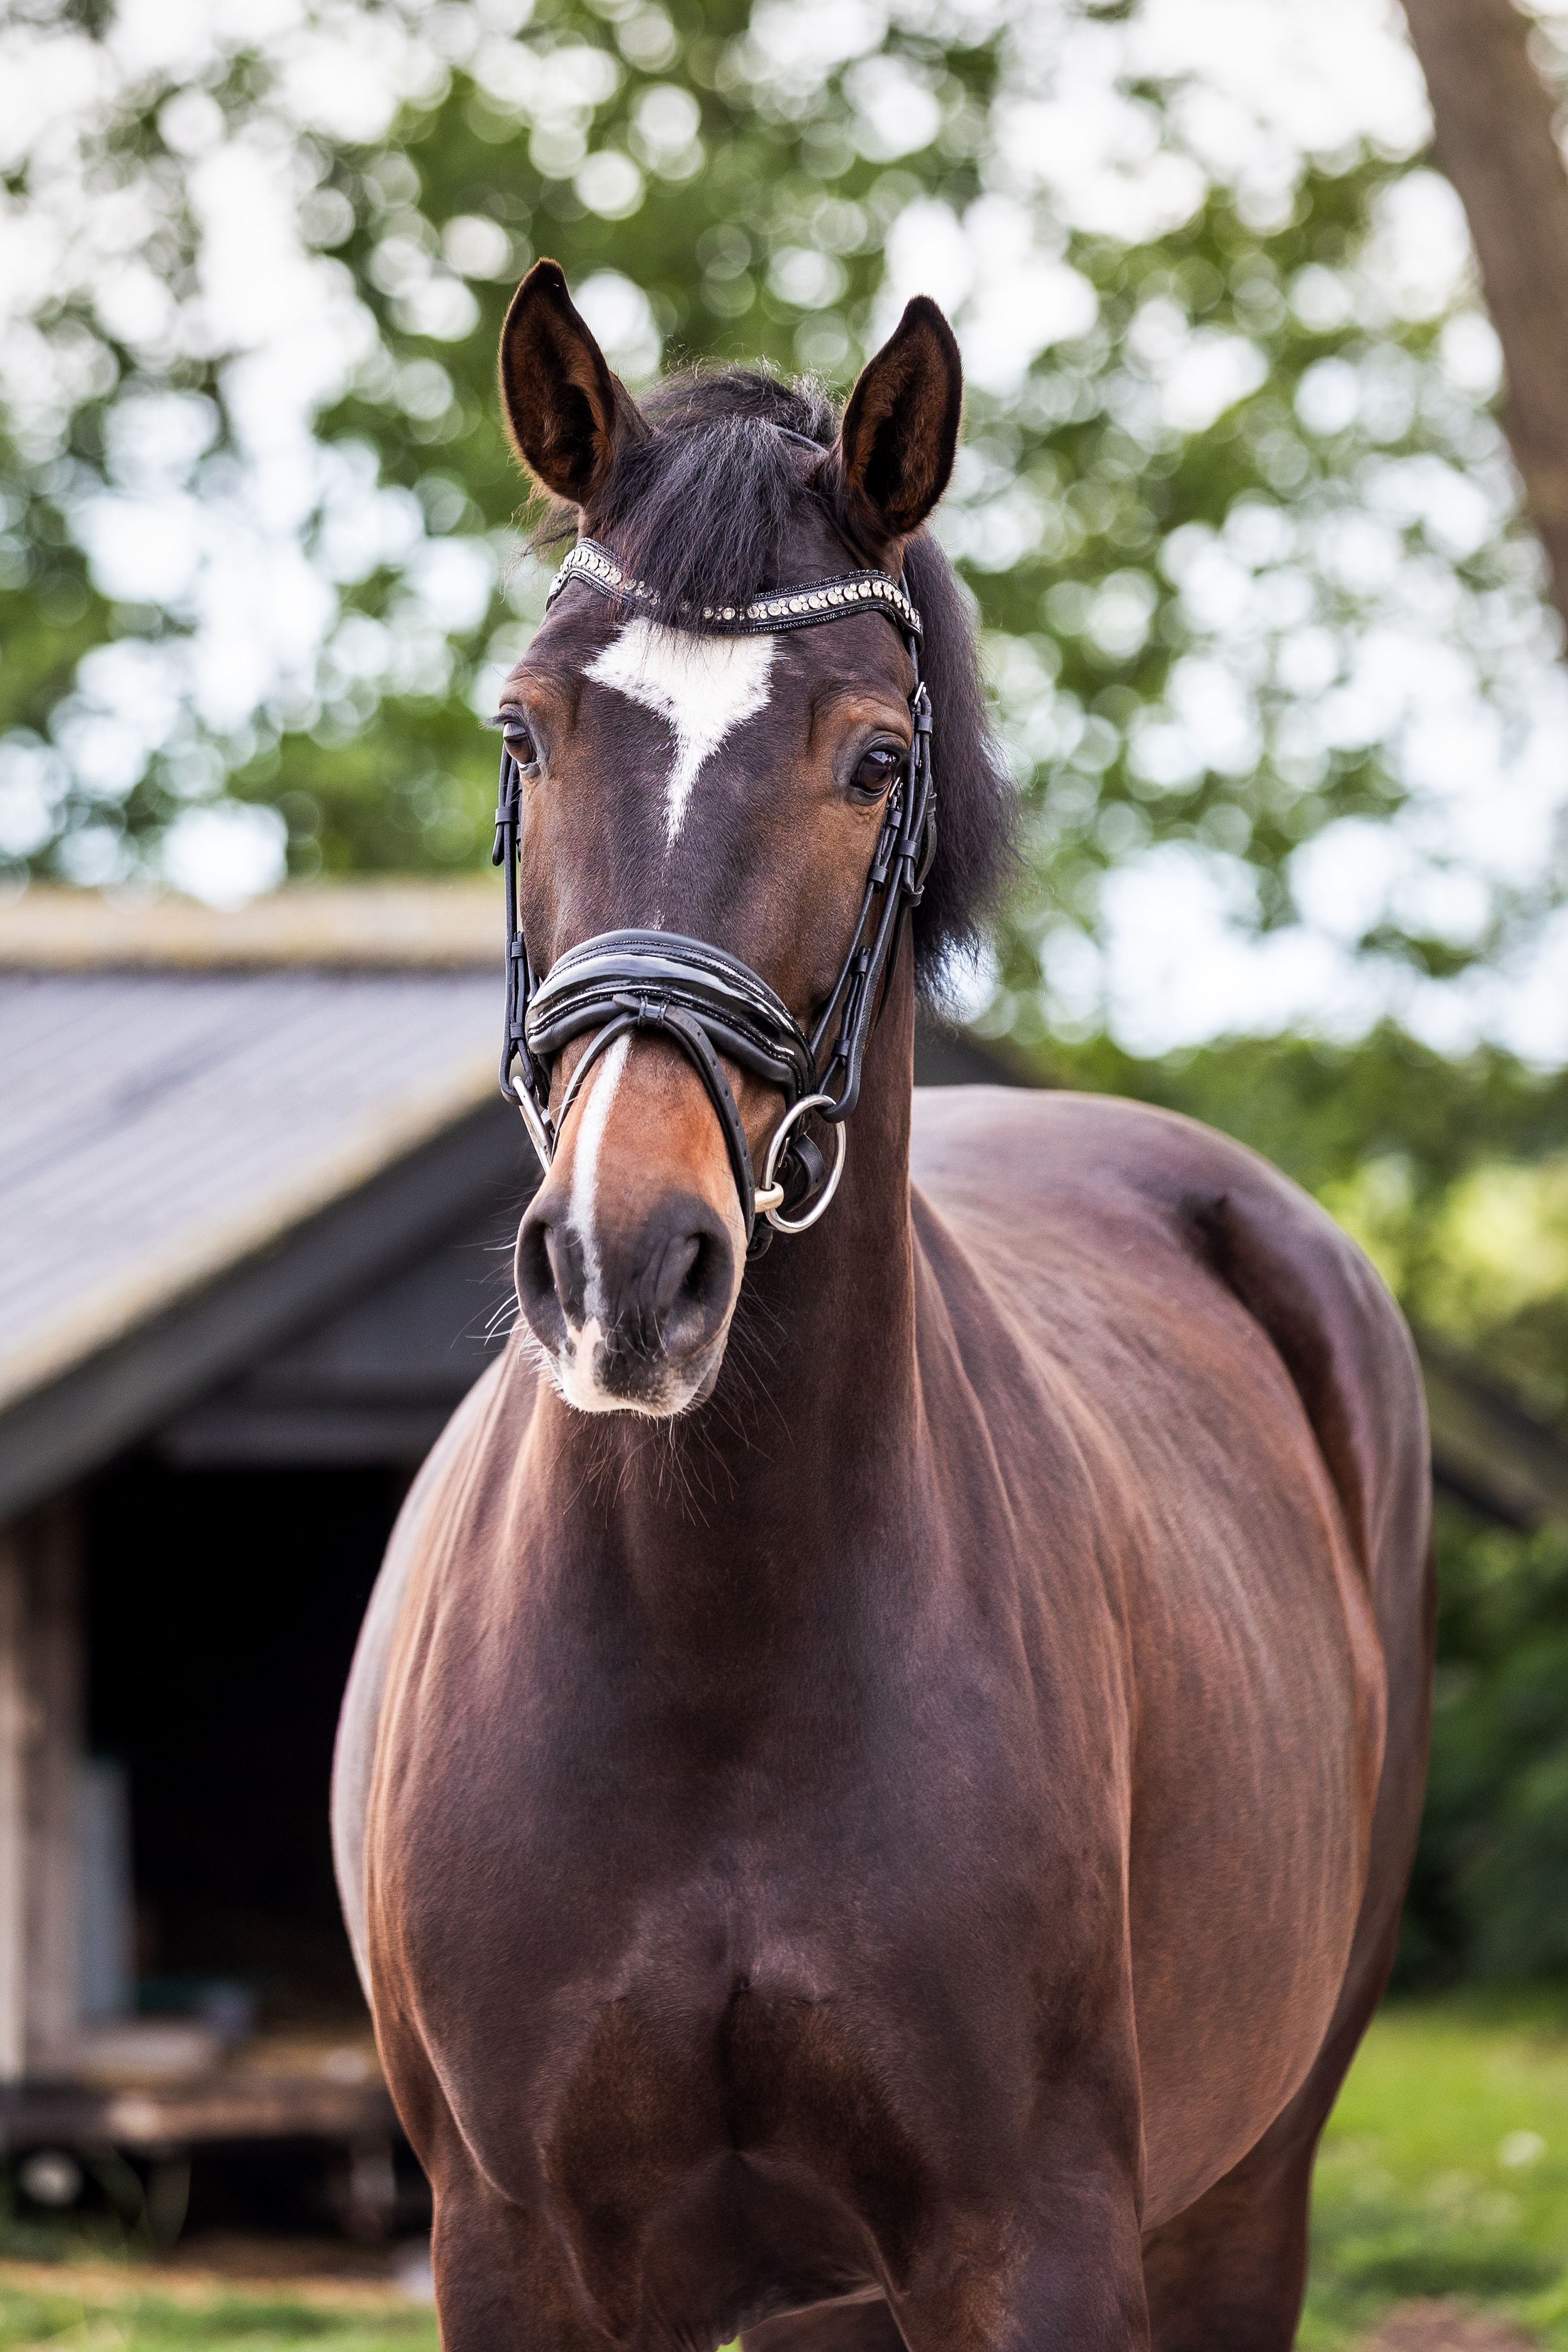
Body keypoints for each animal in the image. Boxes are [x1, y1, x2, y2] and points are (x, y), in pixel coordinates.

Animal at [332, 259, 1432, 2352]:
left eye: (871, 760)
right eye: (527, 735)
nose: (623, 1270)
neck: (718, 1635)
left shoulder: (1034, 2247)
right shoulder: (520, 2253)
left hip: (1244, 2200)